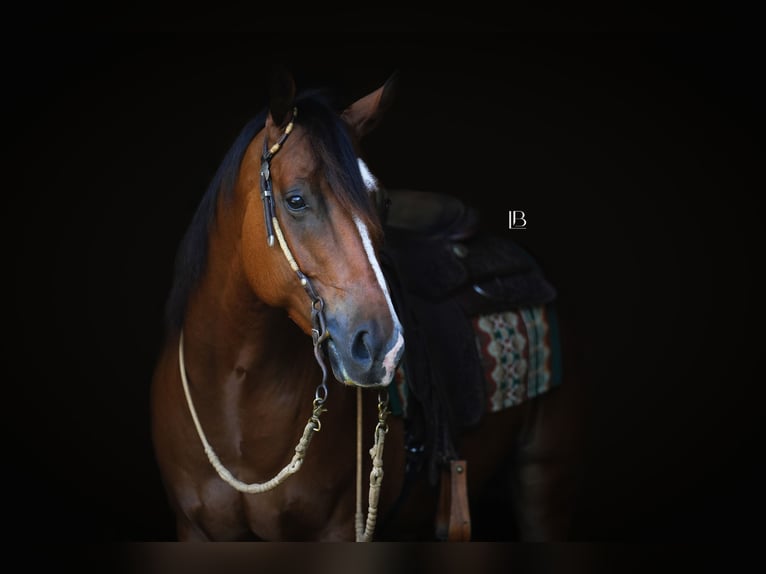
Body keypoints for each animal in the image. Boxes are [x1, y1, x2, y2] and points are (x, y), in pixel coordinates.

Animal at [150, 67, 585, 541]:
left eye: (383, 200)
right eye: (296, 199)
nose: (382, 346)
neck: (234, 397)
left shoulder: (338, 529)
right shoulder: (193, 528)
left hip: (545, 484)